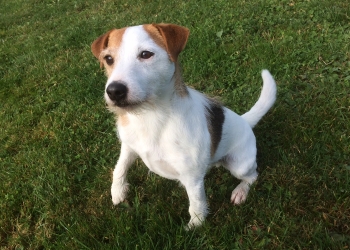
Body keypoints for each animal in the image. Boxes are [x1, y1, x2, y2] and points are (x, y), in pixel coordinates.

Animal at [91, 23, 278, 229]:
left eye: (146, 54)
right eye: (108, 59)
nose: (114, 91)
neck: (150, 115)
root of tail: (245, 120)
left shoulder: (192, 178)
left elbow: (196, 204)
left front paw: (195, 227)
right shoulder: (128, 146)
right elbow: (120, 168)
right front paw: (117, 191)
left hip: (240, 165)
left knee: (253, 176)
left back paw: (241, 191)